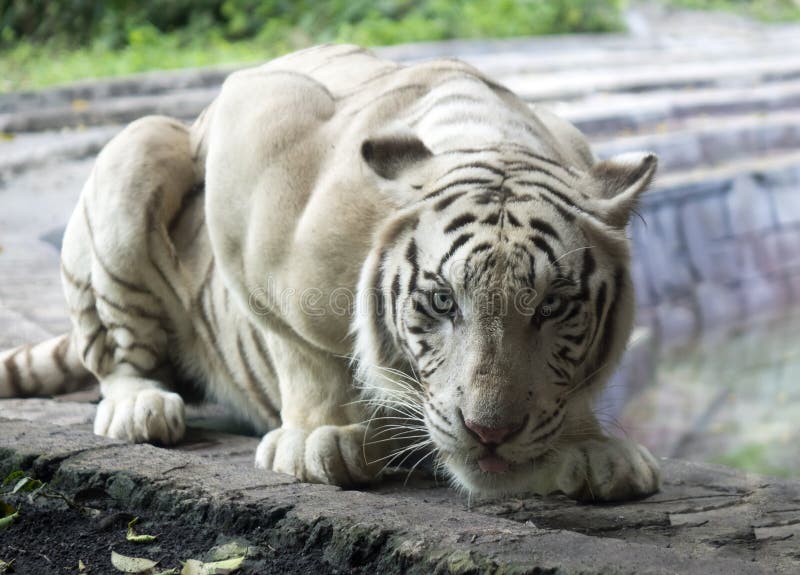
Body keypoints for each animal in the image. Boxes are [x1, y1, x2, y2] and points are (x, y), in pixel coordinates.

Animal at [0, 44, 660, 501]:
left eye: (552, 306)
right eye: (443, 301)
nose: (489, 433)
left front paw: (593, 450)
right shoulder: (253, 141)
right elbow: (298, 350)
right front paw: (320, 440)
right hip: (141, 145)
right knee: (116, 352)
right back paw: (140, 407)